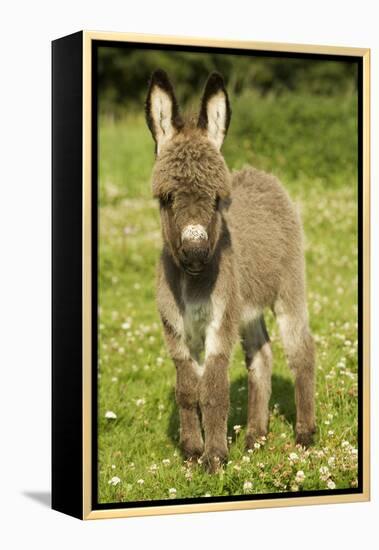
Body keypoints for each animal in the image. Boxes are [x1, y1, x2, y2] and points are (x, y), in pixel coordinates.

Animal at [144, 69, 316, 474]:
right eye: (166, 198)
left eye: (217, 198)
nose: (195, 253)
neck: (191, 284)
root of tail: (262, 175)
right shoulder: (176, 330)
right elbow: (188, 390)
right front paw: (192, 451)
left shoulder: (219, 323)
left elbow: (214, 389)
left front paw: (215, 458)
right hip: (247, 307)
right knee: (262, 356)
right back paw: (255, 436)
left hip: (288, 289)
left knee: (302, 351)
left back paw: (304, 434)